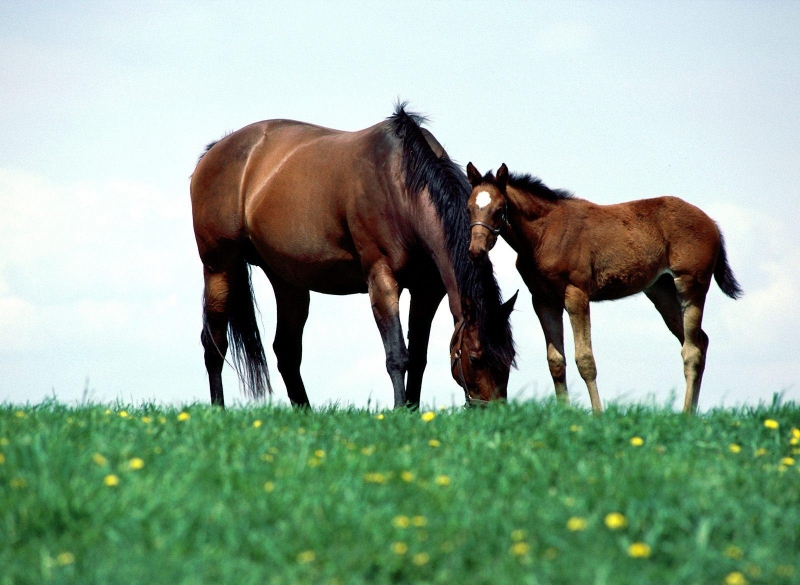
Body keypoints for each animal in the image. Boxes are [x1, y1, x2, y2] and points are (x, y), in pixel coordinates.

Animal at [188, 106, 516, 406]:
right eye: (475, 358)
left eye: (510, 357)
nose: (495, 412)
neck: (400, 184)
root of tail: (214, 151)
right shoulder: (382, 280)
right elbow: (397, 355)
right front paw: (400, 410)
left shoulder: (427, 291)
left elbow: (418, 357)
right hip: (219, 267)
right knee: (214, 342)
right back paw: (218, 409)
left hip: (288, 282)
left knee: (286, 351)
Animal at [466, 162, 740, 412]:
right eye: (469, 208)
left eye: (499, 209)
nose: (476, 251)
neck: (544, 234)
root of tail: (711, 222)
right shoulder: (543, 300)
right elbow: (556, 361)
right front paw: (564, 414)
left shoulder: (576, 294)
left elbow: (585, 358)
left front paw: (598, 414)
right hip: (661, 292)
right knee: (700, 341)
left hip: (691, 286)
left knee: (692, 350)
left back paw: (685, 415)